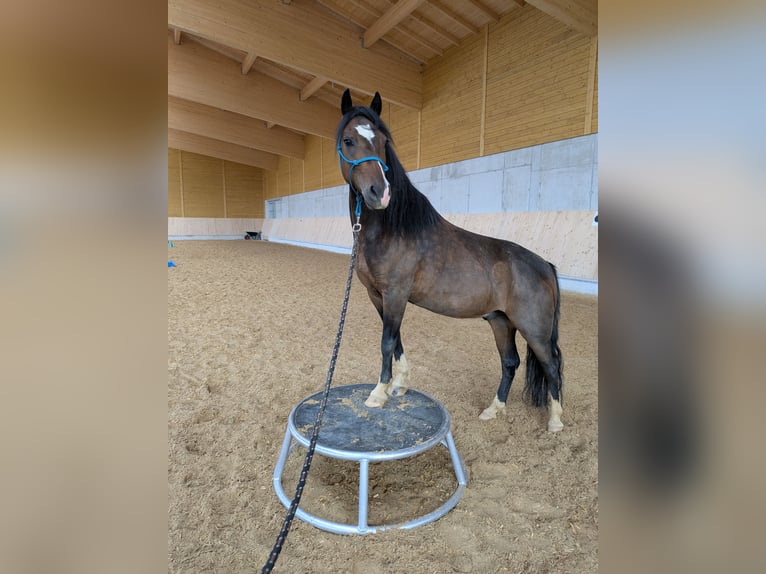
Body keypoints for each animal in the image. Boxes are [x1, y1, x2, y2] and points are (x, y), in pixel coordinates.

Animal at [337, 90, 564, 432]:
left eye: (382, 141)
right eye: (349, 140)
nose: (381, 193)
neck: (394, 228)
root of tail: (545, 267)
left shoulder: (395, 295)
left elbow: (387, 342)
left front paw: (379, 392)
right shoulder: (378, 296)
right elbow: (396, 339)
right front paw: (399, 385)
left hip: (533, 328)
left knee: (551, 364)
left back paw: (555, 422)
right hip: (501, 322)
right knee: (510, 362)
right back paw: (493, 410)